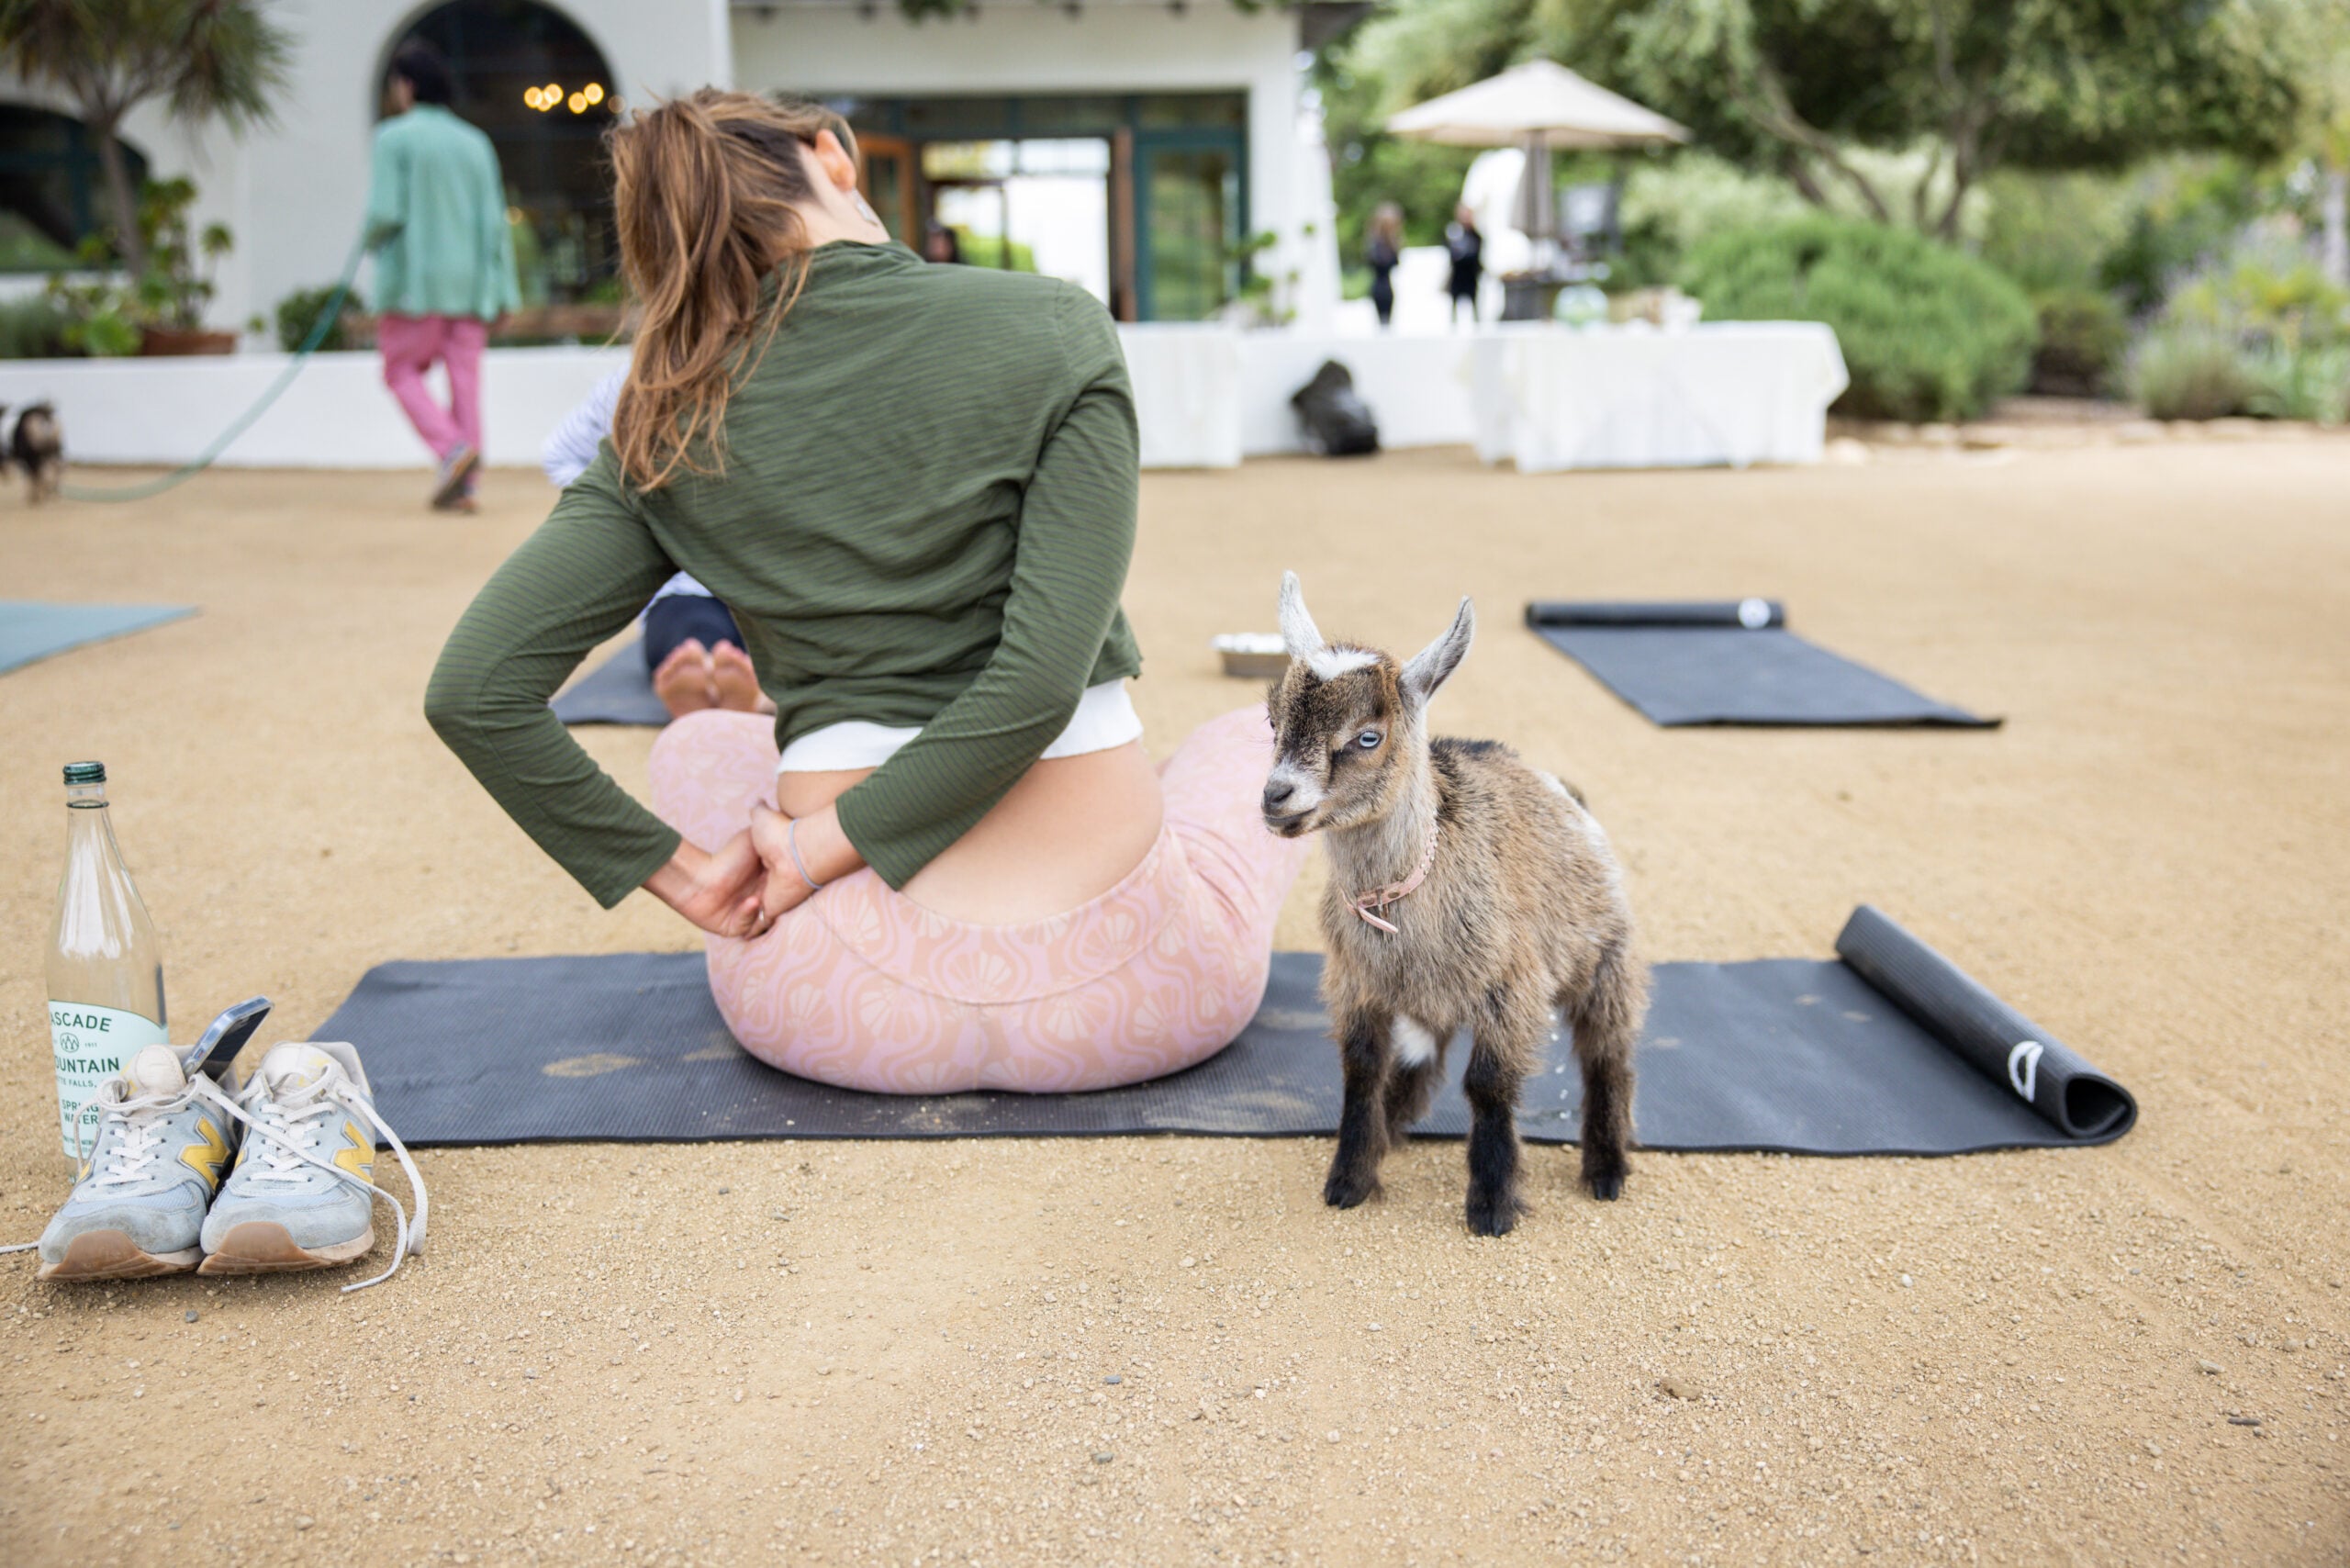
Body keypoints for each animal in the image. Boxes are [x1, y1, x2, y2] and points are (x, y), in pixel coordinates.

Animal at [1261, 572, 1647, 1234]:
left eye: (1368, 736)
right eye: (1271, 721)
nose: (1275, 796)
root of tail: (1559, 787)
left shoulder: (1511, 985)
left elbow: (1489, 1085)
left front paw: (1492, 1205)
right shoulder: (1355, 981)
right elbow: (1361, 1070)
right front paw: (1350, 1178)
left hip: (1606, 956)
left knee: (1607, 1052)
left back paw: (1606, 1167)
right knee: (1423, 1055)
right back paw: (1393, 1125)